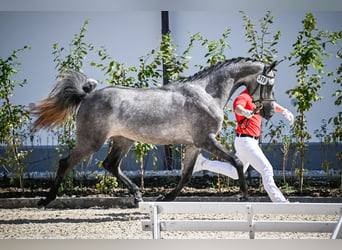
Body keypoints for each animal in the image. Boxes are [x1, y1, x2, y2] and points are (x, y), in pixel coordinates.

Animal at [31, 56, 278, 207]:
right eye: (270, 84)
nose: (269, 112)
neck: (207, 92)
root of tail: (87, 95)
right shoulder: (206, 140)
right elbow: (236, 161)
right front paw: (244, 195)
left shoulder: (194, 144)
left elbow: (186, 174)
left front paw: (166, 197)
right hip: (91, 141)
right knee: (66, 162)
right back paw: (46, 200)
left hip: (123, 140)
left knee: (110, 165)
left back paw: (138, 195)